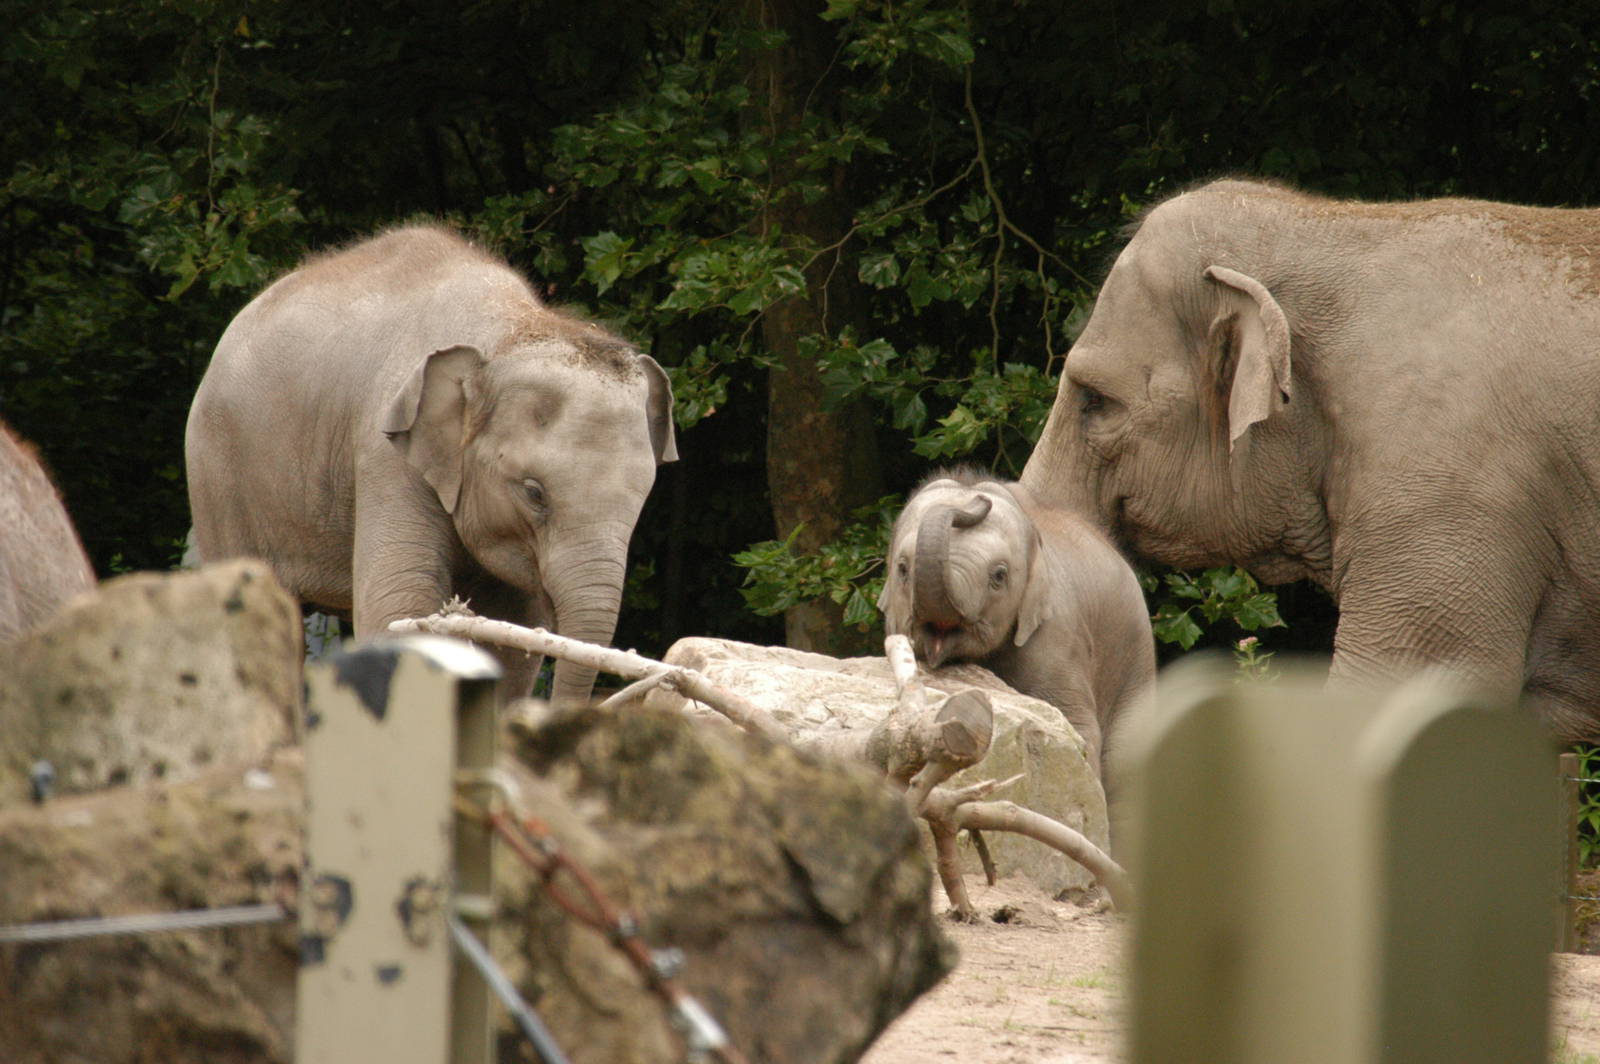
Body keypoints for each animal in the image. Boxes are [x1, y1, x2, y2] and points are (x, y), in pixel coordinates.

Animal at [185, 225, 677, 706]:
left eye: (642, 499)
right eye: (534, 492)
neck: (512, 328)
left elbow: (511, 635)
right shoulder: (385, 453)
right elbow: (399, 605)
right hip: (216, 475)